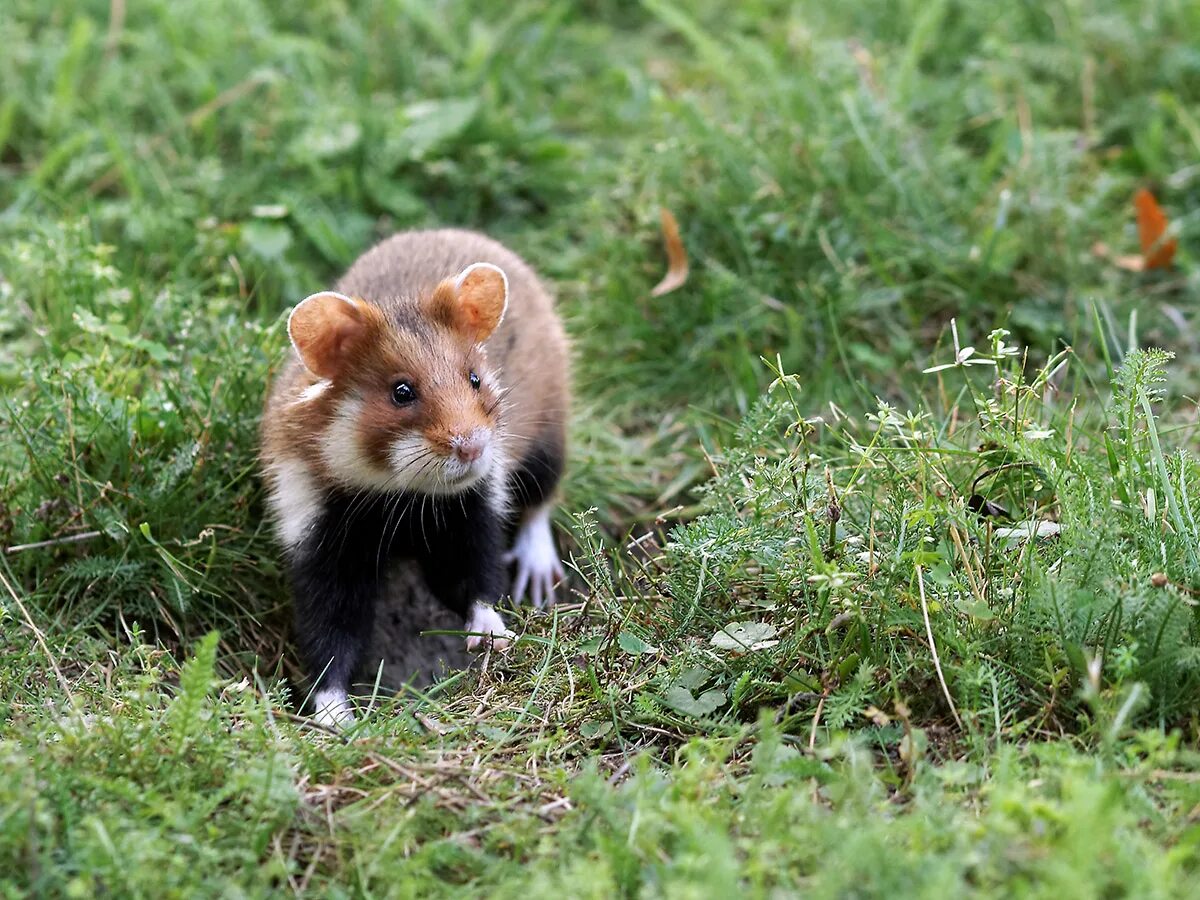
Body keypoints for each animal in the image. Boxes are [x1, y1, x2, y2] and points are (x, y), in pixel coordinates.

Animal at [260, 229, 568, 729]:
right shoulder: (319, 538)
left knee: (540, 501)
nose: (472, 448)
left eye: (475, 378)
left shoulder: (472, 509)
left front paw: (491, 638)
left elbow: (479, 580)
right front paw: (337, 720)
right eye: (401, 391)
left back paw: (538, 580)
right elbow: (330, 639)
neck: (398, 498)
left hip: (551, 432)